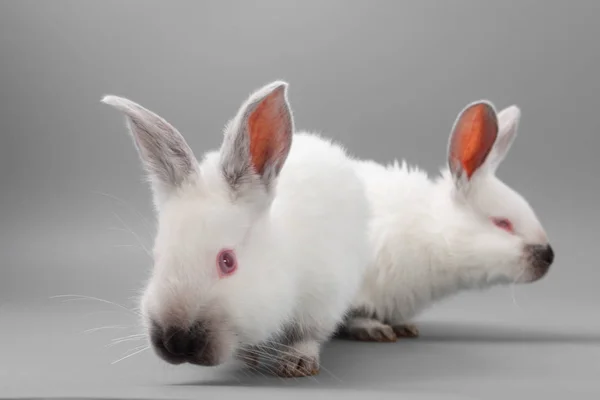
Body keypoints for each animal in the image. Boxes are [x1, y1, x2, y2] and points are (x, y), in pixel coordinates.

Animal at [103, 82, 370, 378]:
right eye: (157, 260)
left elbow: (307, 335)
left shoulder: (324, 297)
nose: (176, 343)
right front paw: (248, 356)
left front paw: (296, 362)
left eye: (227, 261)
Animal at [340, 101, 556, 342]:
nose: (549, 256)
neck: (430, 234)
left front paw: (403, 327)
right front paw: (374, 329)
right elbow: (354, 315)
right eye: (502, 223)